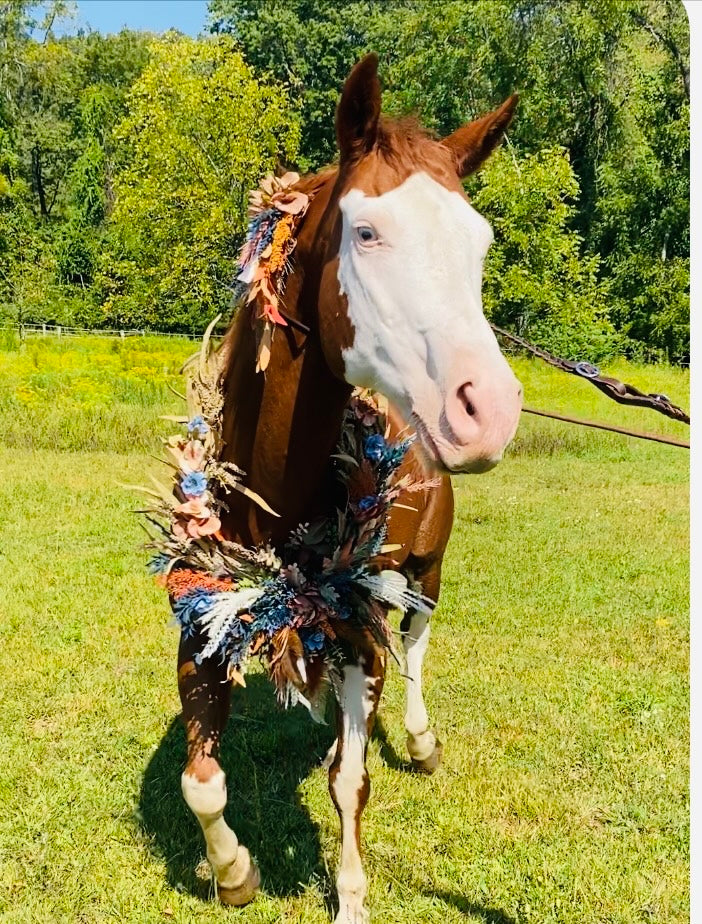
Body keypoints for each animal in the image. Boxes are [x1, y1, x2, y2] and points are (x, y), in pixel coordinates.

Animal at [177, 54, 524, 920]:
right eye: (366, 232)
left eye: (480, 244)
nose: (490, 409)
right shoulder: (203, 608)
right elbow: (202, 782)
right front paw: (234, 871)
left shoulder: (363, 621)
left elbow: (350, 782)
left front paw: (353, 895)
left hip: (422, 574)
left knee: (416, 646)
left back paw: (421, 738)